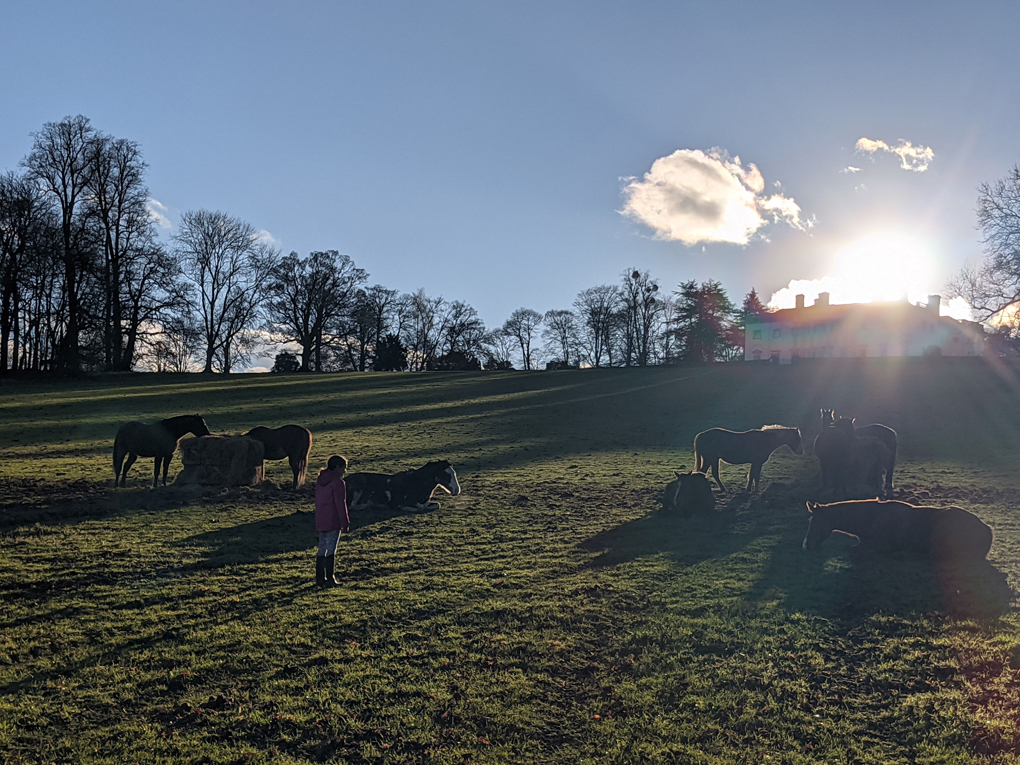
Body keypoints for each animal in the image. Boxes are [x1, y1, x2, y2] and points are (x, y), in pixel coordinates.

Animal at [799, 499, 991, 558]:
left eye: (816, 522)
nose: (806, 545)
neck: (871, 518)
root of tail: (986, 528)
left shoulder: (879, 546)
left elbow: (849, 549)